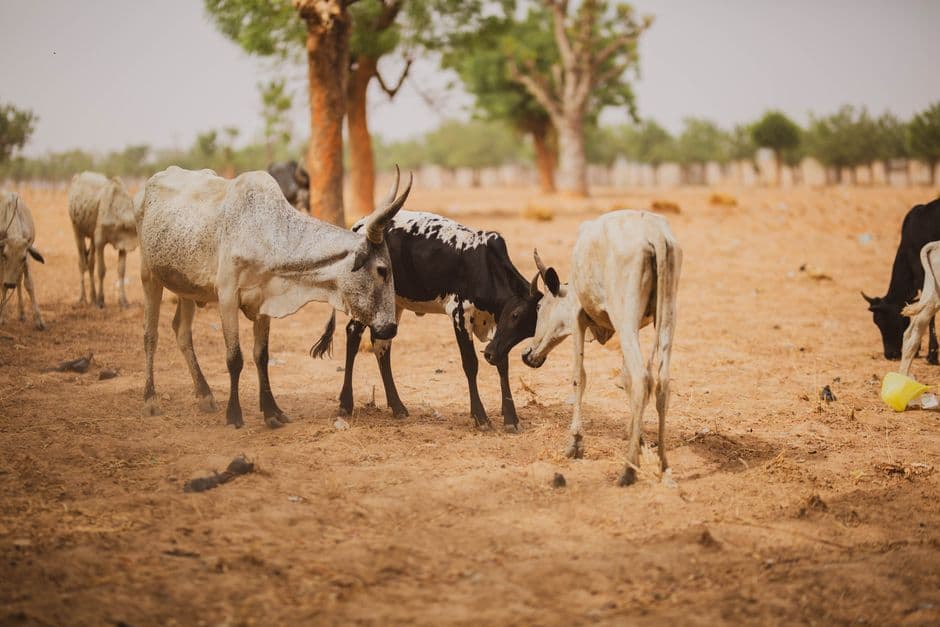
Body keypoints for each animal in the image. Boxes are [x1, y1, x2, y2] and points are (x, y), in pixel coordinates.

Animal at [0, 191, 45, 330]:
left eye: (23, 257)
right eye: (5, 255)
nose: (10, 284)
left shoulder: (26, 258)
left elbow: (28, 284)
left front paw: (39, 320)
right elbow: (2, 284)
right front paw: (1, 316)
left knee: (19, 279)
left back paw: (21, 313)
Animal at [68, 172, 139, 308]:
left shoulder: (123, 246)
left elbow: (121, 271)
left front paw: (123, 301)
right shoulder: (100, 241)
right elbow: (101, 271)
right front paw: (101, 300)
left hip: (91, 236)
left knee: (90, 263)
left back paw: (93, 297)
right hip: (77, 231)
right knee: (82, 263)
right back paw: (84, 298)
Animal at [136, 165, 410, 429]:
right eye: (382, 270)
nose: (390, 328)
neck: (268, 235)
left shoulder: (264, 304)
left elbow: (261, 356)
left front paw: (271, 412)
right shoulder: (227, 298)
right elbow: (235, 358)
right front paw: (234, 415)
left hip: (186, 288)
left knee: (182, 332)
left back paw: (205, 395)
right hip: (149, 276)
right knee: (151, 336)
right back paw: (150, 400)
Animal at [312, 210, 538, 431]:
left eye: (530, 329)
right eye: (516, 314)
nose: (490, 355)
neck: (486, 267)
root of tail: (359, 225)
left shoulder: (496, 329)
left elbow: (503, 363)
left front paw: (511, 418)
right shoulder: (459, 314)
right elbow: (470, 363)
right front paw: (480, 417)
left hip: (393, 304)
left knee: (381, 344)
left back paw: (397, 406)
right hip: (365, 300)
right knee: (353, 335)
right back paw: (346, 404)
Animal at [501, 210, 681, 486]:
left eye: (540, 306)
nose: (527, 354)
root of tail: (656, 235)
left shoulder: (578, 319)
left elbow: (579, 378)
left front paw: (575, 443)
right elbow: (625, 380)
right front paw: (638, 438)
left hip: (625, 315)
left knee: (643, 378)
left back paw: (628, 470)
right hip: (667, 316)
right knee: (661, 382)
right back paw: (663, 465)